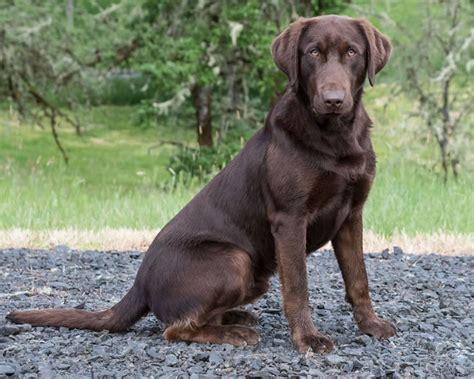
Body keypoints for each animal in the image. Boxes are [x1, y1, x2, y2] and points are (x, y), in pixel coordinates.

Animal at [6, 14, 396, 354]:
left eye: (352, 52)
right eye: (312, 52)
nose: (334, 100)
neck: (335, 137)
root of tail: (140, 284)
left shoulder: (351, 215)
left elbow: (358, 279)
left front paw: (370, 325)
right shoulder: (290, 219)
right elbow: (298, 286)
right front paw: (307, 339)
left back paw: (236, 317)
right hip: (234, 259)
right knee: (176, 329)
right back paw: (234, 333)